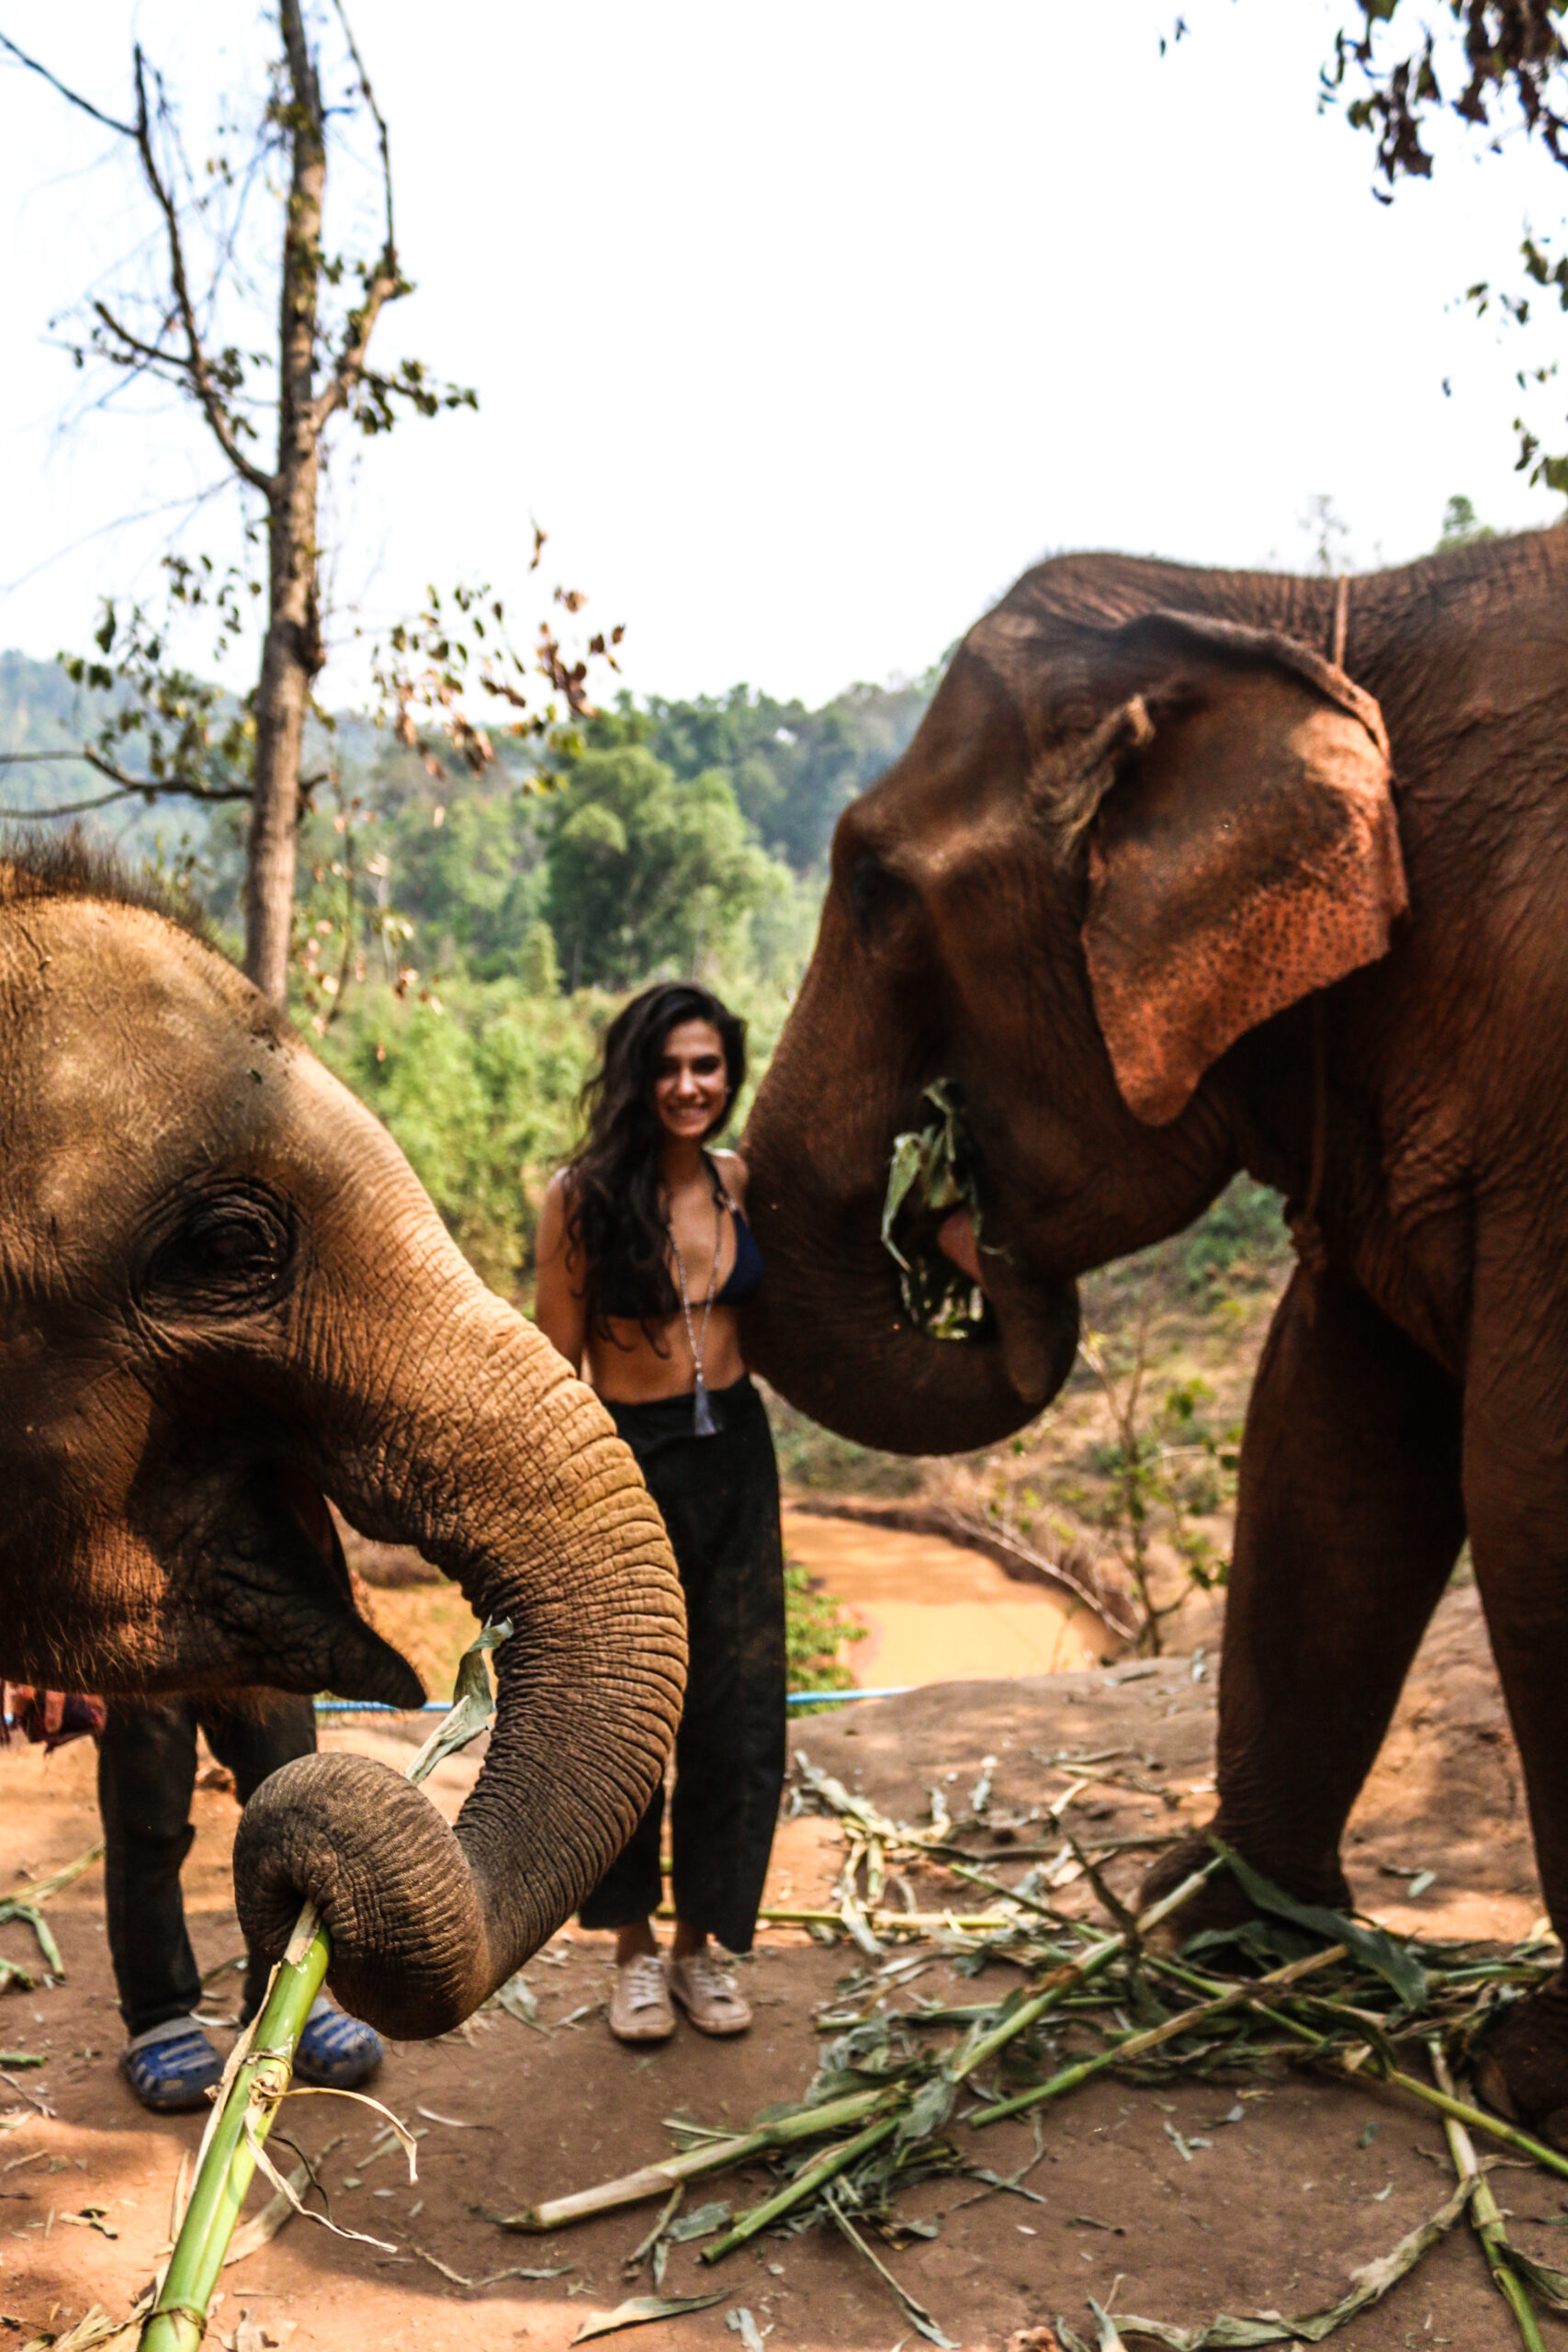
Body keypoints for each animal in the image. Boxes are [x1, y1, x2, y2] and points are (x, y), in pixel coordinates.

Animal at [741, 524, 1568, 2137]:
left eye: (872, 888)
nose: (953, 1216)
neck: (1309, 613)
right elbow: (1330, 1431)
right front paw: (1210, 1930)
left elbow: (1522, 1485)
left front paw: (1528, 2081)